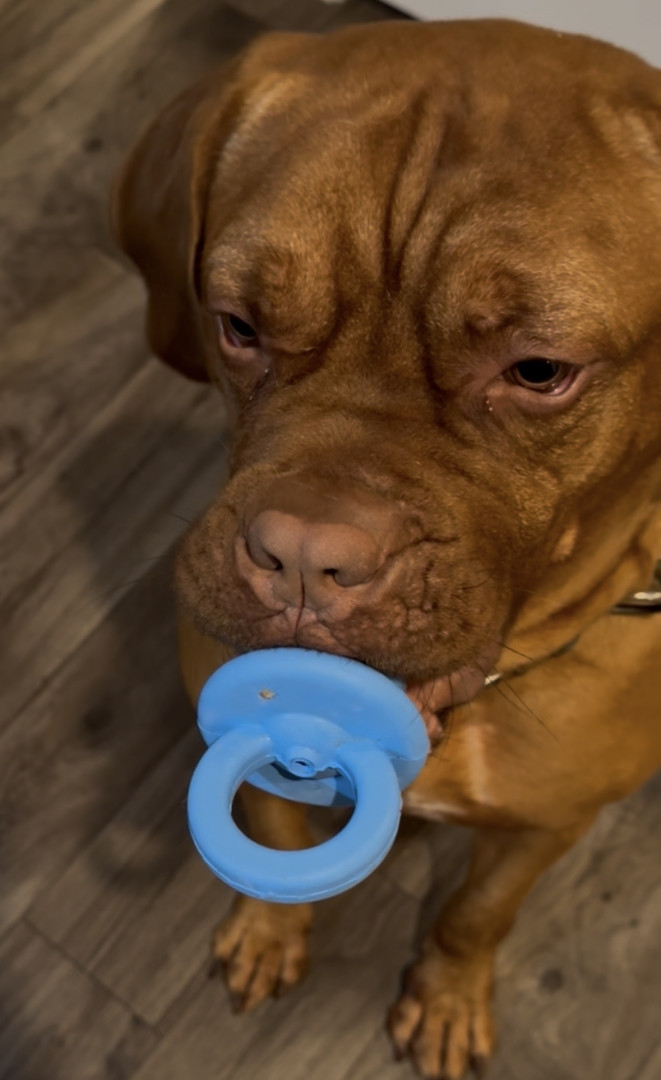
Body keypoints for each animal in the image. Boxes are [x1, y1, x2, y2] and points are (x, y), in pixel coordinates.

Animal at [111, 19, 661, 1079]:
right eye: (237, 325)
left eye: (539, 371)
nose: (301, 554)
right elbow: (274, 822)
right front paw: (267, 931)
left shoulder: (545, 824)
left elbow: (477, 913)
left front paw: (445, 999)